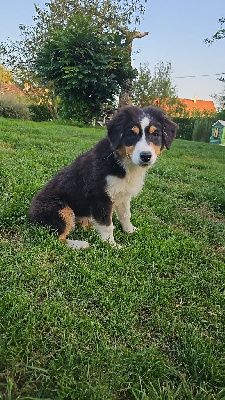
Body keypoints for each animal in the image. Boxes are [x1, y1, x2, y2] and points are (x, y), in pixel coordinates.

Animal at [29, 108, 178, 248]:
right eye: (131, 134)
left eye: (156, 134)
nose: (146, 156)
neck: (120, 162)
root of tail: (31, 214)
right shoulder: (100, 197)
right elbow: (107, 224)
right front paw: (112, 245)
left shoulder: (123, 195)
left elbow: (125, 215)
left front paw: (130, 231)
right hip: (60, 210)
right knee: (57, 238)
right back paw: (81, 244)